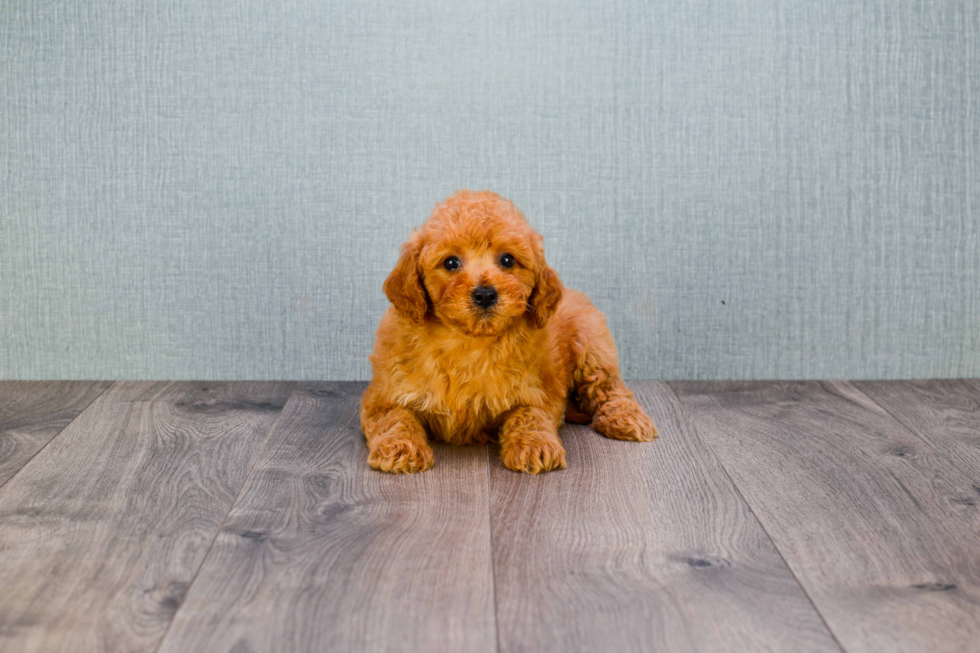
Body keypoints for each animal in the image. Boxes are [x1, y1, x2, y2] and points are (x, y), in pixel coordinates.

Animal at [360, 190, 660, 474]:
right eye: (450, 263)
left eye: (507, 260)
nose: (484, 293)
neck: (469, 342)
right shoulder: (383, 396)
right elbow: (395, 418)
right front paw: (400, 447)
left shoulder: (537, 392)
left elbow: (528, 415)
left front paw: (535, 446)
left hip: (593, 344)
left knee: (610, 387)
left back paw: (627, 418)